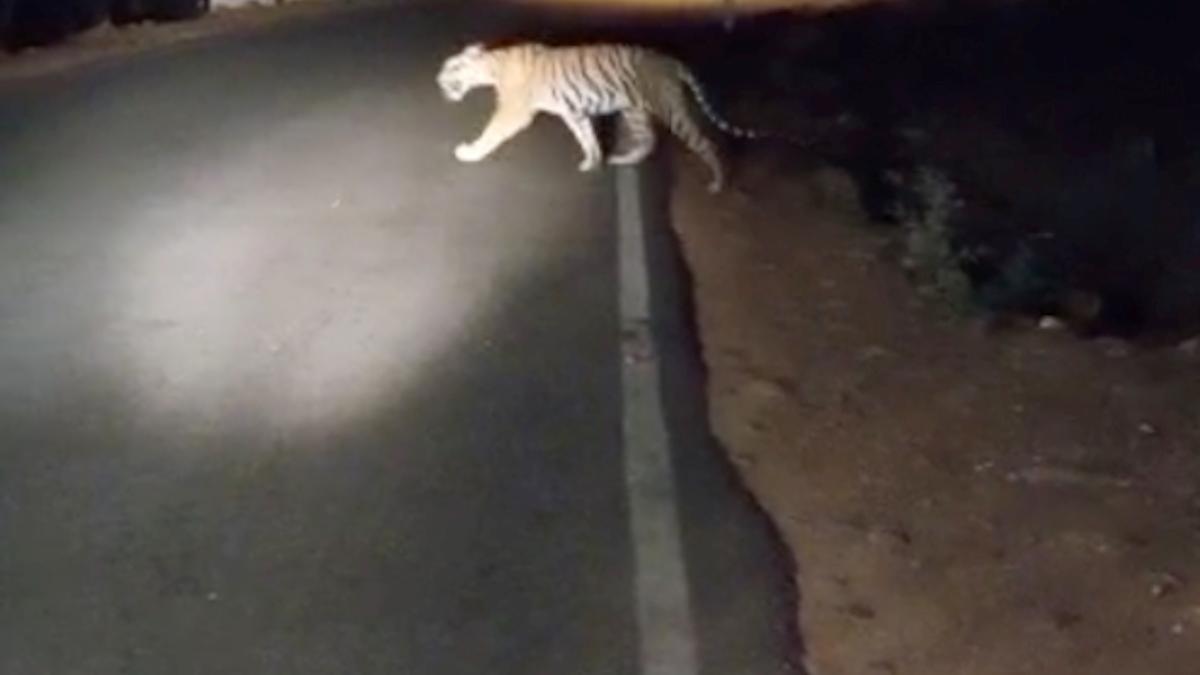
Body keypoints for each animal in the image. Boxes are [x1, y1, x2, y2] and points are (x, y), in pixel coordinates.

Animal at [436, 42, 764, 193]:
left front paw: (469, 152)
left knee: (706, 143)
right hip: (634, 112)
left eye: (450, 69)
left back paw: (717, 184)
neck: (492, 66)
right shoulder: (574, 112)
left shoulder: (513, 113)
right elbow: (587, 138)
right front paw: (593, 162)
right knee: (649, 142)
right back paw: (620, 159)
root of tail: (669, 59)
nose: (438, 84)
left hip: (670, 109)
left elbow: (490, 133)